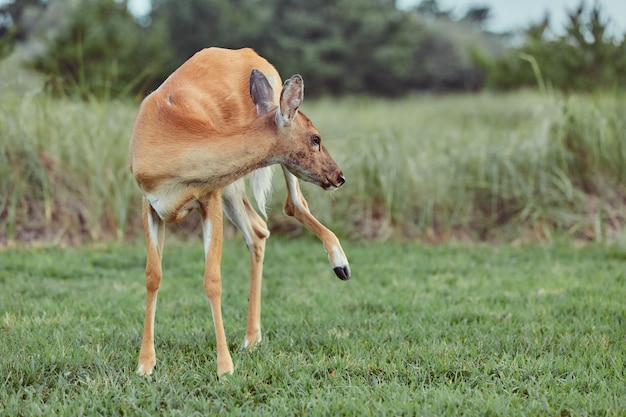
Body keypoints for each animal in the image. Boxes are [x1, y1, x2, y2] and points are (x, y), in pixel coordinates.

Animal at [129, 47, 348, 376]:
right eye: (316, 138)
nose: (339, 176)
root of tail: (251, 54)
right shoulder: (150, 203)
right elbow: (152, 276)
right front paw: (145, 363)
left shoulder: (210, 194)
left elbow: (212, 279)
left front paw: (224, 367)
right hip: (233, 184)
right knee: (259, 228)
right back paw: (251, 338)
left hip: (237, 181)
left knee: (291, 205)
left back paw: (340, 265)